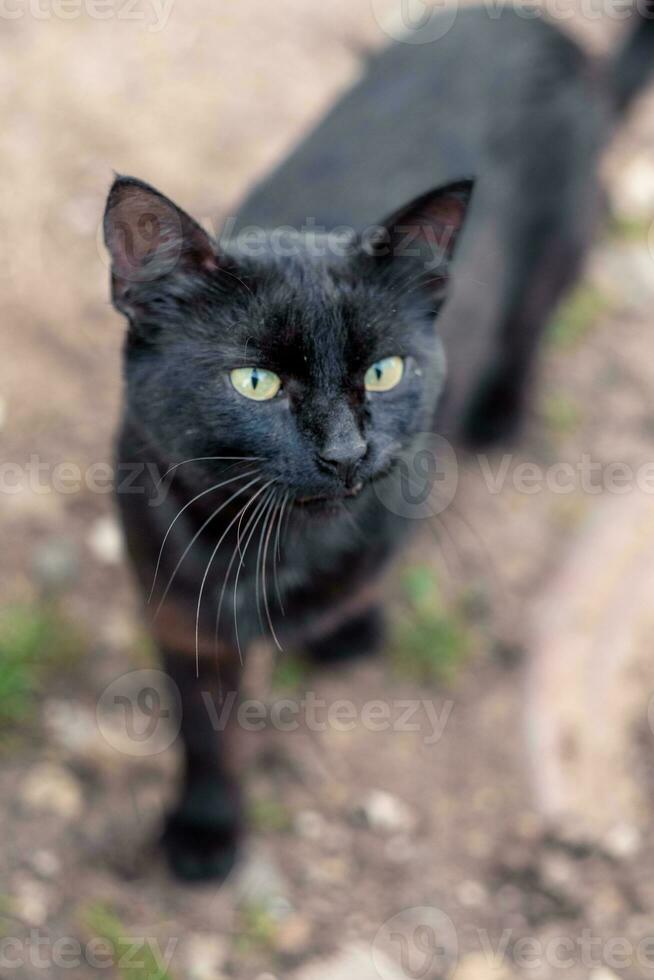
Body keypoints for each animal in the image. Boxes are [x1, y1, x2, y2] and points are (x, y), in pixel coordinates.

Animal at [104, 5, 654, 880]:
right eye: (255, 382)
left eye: (384, 371)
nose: (344, 451)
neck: (283, 544)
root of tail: (546, 31)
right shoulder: (178, 611)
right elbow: (204, 734)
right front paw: (206, 830)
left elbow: (366, 577)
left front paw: (347, 630)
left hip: (562, 249)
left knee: (533, 322)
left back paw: (503, 410)